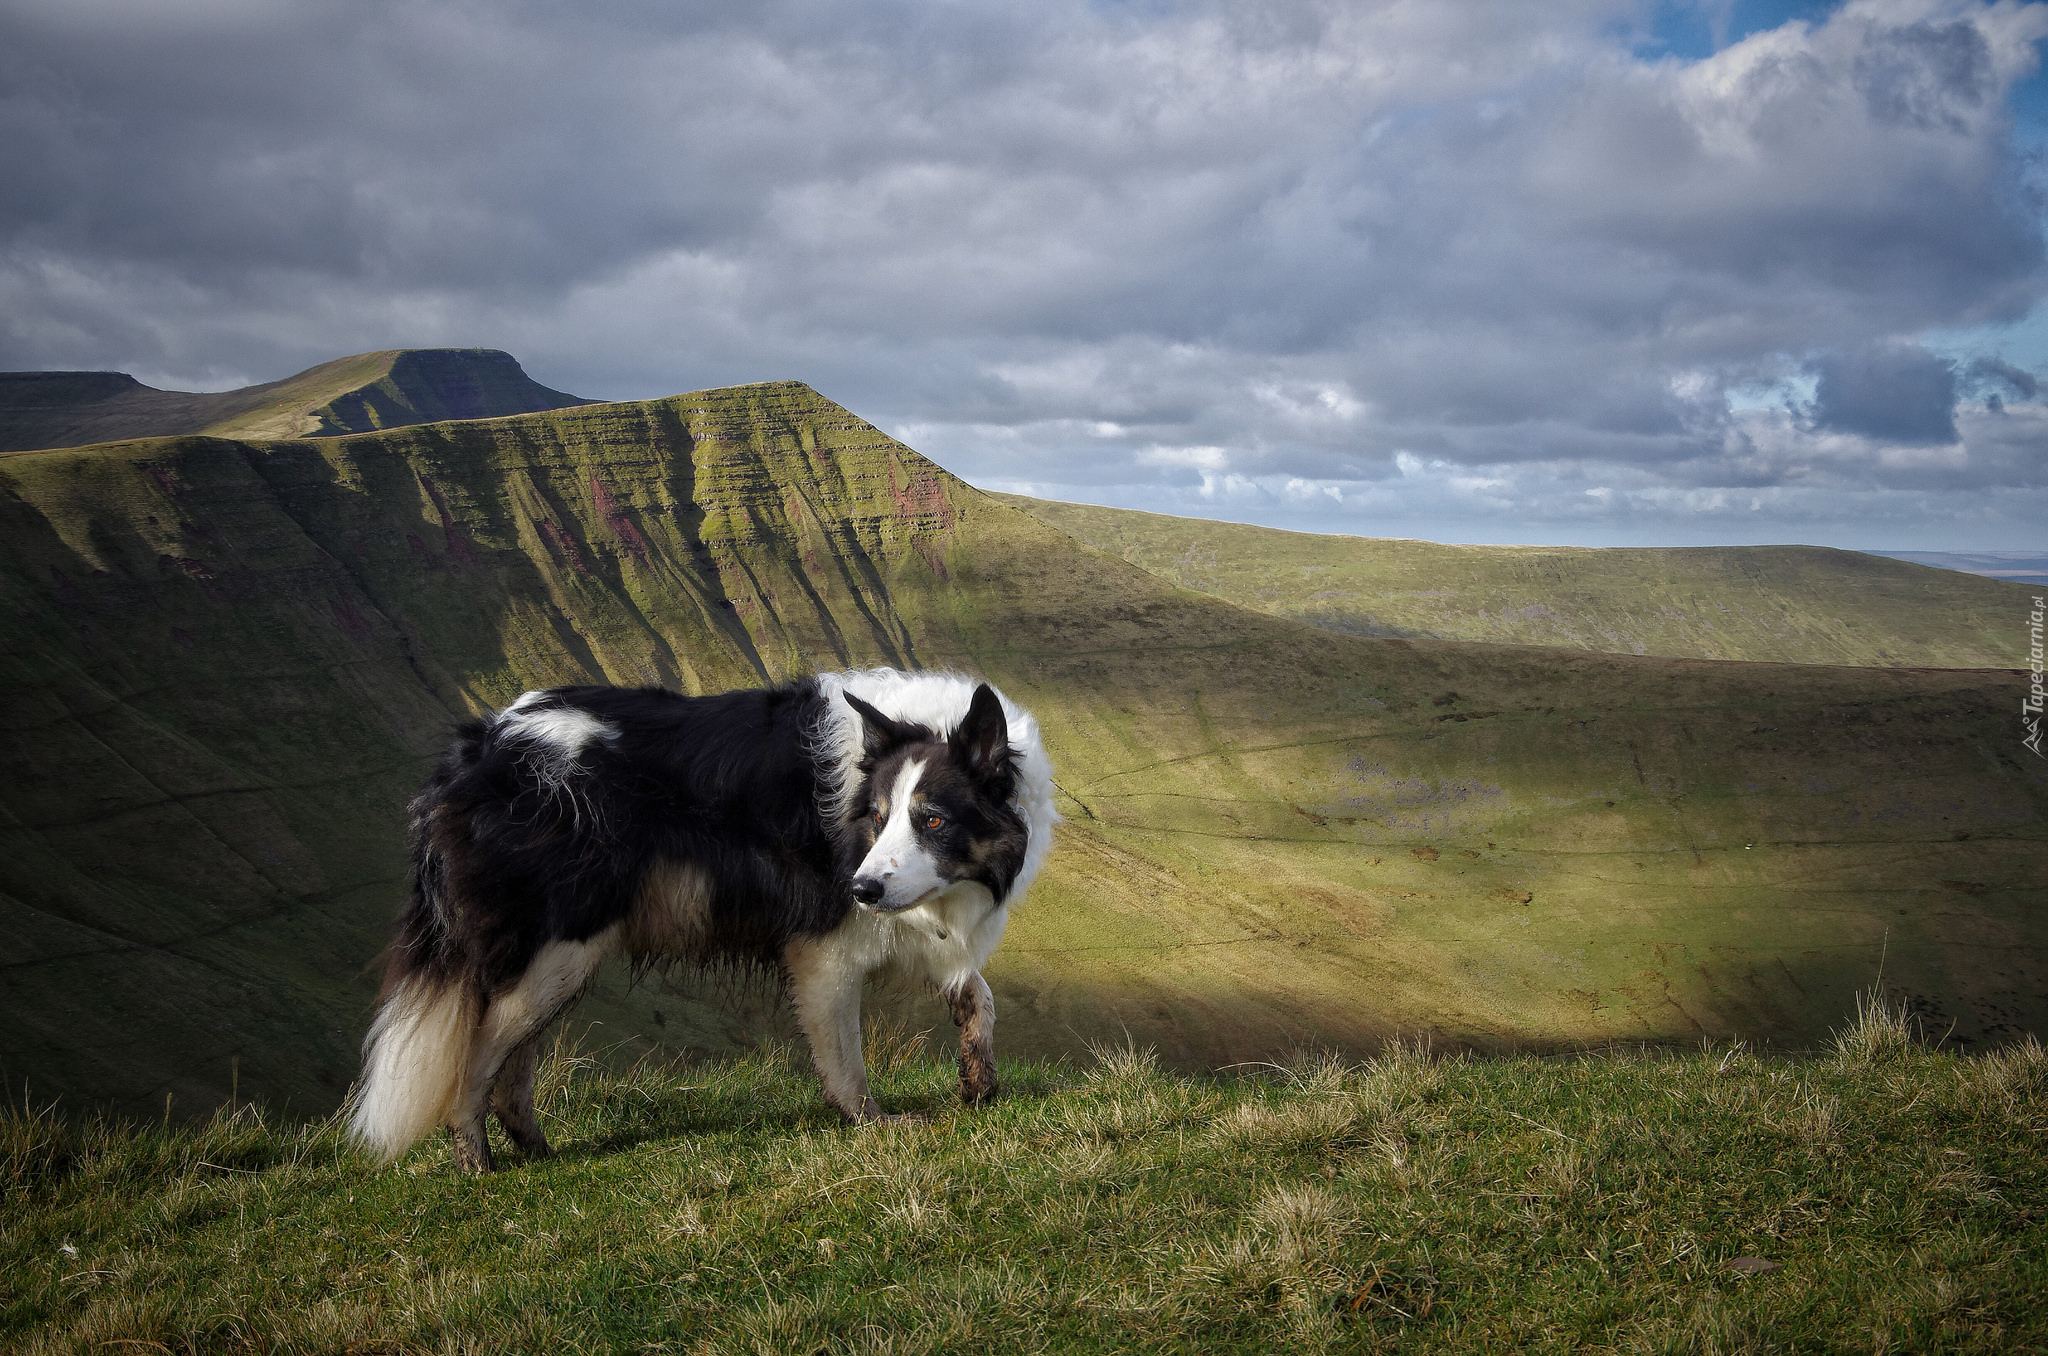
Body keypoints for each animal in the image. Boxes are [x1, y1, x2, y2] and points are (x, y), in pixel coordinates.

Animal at [350, 667, 1056, 1171]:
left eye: (931, 819)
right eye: (878, 819)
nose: (858, 886)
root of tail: (476, 749)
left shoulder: (907, 912)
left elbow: (979, 996)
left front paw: (978, 1081)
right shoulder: (825, 948)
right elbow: (845, 1054)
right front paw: (874, 1124)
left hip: (562, 960)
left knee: (513, 1057)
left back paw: (536, 1151)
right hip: (560, 944)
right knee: (480, 1052)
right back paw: (475, 1163)